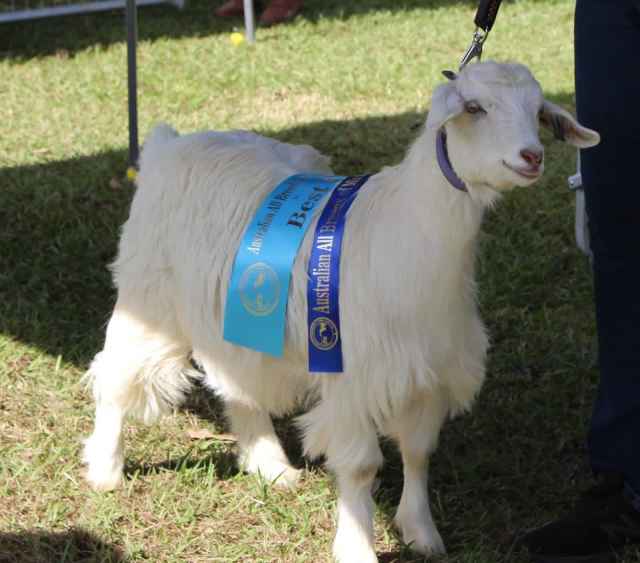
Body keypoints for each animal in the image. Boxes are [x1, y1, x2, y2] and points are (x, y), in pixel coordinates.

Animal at [83, 61, 599, 562]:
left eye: (538, 111)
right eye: (475, 107)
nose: (532, 157)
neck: (406, 230)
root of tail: (168, 143)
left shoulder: (430, 371)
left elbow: (417, 451)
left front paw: (421, 532)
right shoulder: (353, 374)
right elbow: (361, 466)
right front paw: (357, 546)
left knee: (236, 379)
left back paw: (270, 465)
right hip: (149, 294)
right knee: (115, 375)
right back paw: (106, 470)